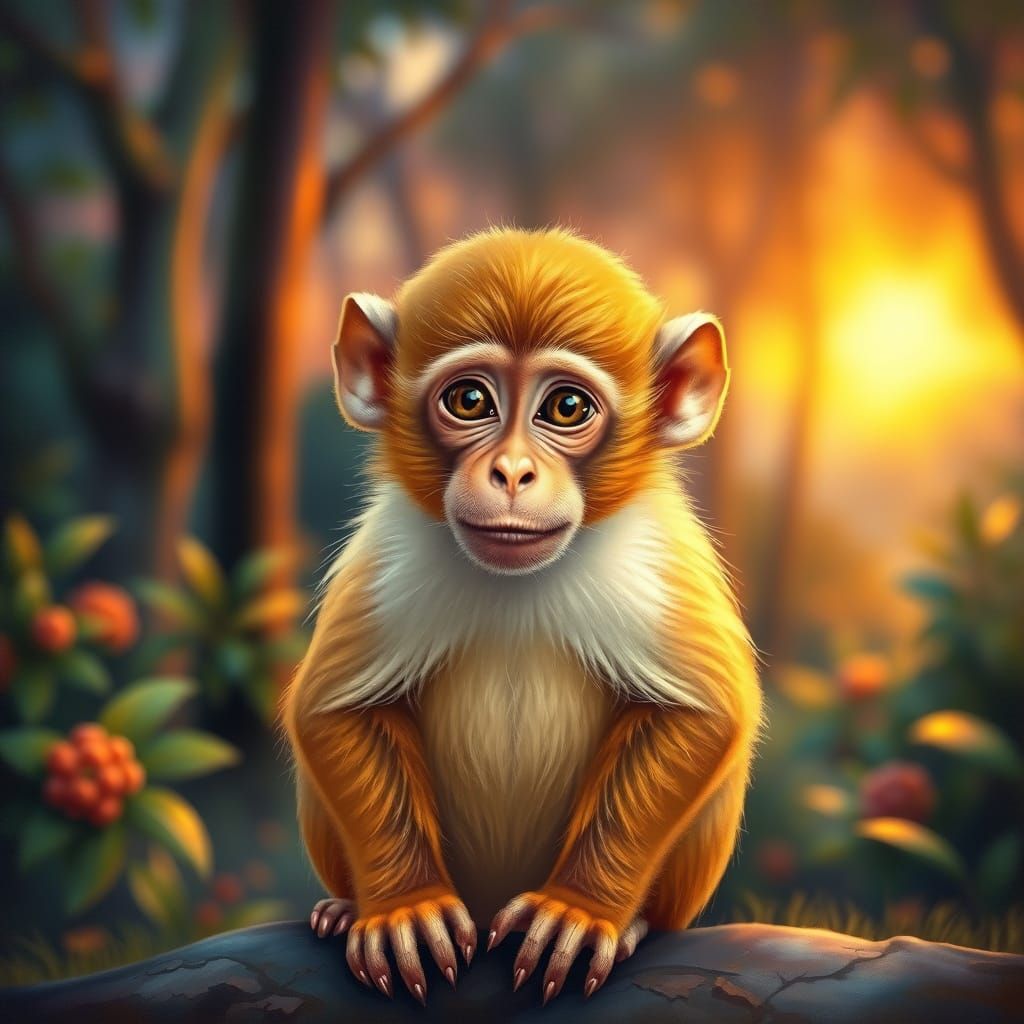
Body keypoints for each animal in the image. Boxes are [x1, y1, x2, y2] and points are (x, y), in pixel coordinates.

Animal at [282, 227, 761, 1006]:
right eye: (470, 399)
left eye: (566, 409)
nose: (511, 472)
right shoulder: (386, 555)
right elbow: (330, 710)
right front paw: (406, 907)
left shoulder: (658, 559)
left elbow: (707, 714)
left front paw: (579, 910)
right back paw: (347, 907)